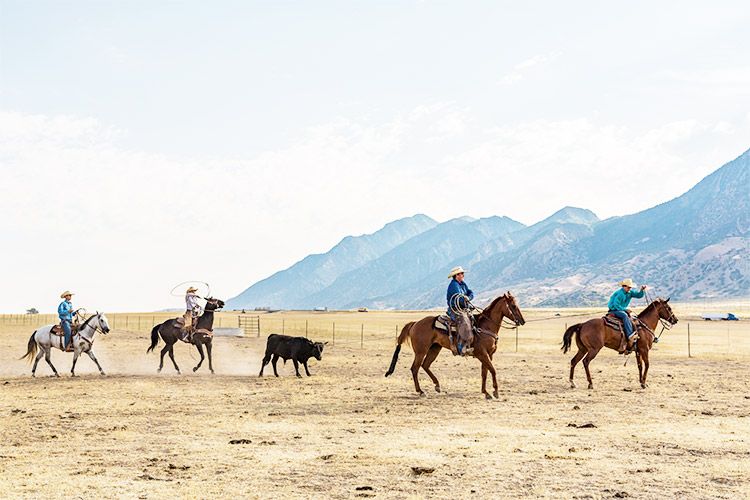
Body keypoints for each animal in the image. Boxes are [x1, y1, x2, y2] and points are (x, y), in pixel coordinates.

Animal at [384, 292, 524, 400]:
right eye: (513, 305)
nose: (522, 321)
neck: (486, 326)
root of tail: (415, 323)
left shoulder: (488, 354)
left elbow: (485, 372)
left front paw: (486, 393)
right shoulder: (482, 354)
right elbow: (493, 370)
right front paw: (495, 392)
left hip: (435, 348)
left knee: (425, 365)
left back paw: (437, 385)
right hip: (420, 351)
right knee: (415, 368)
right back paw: (421, 391)